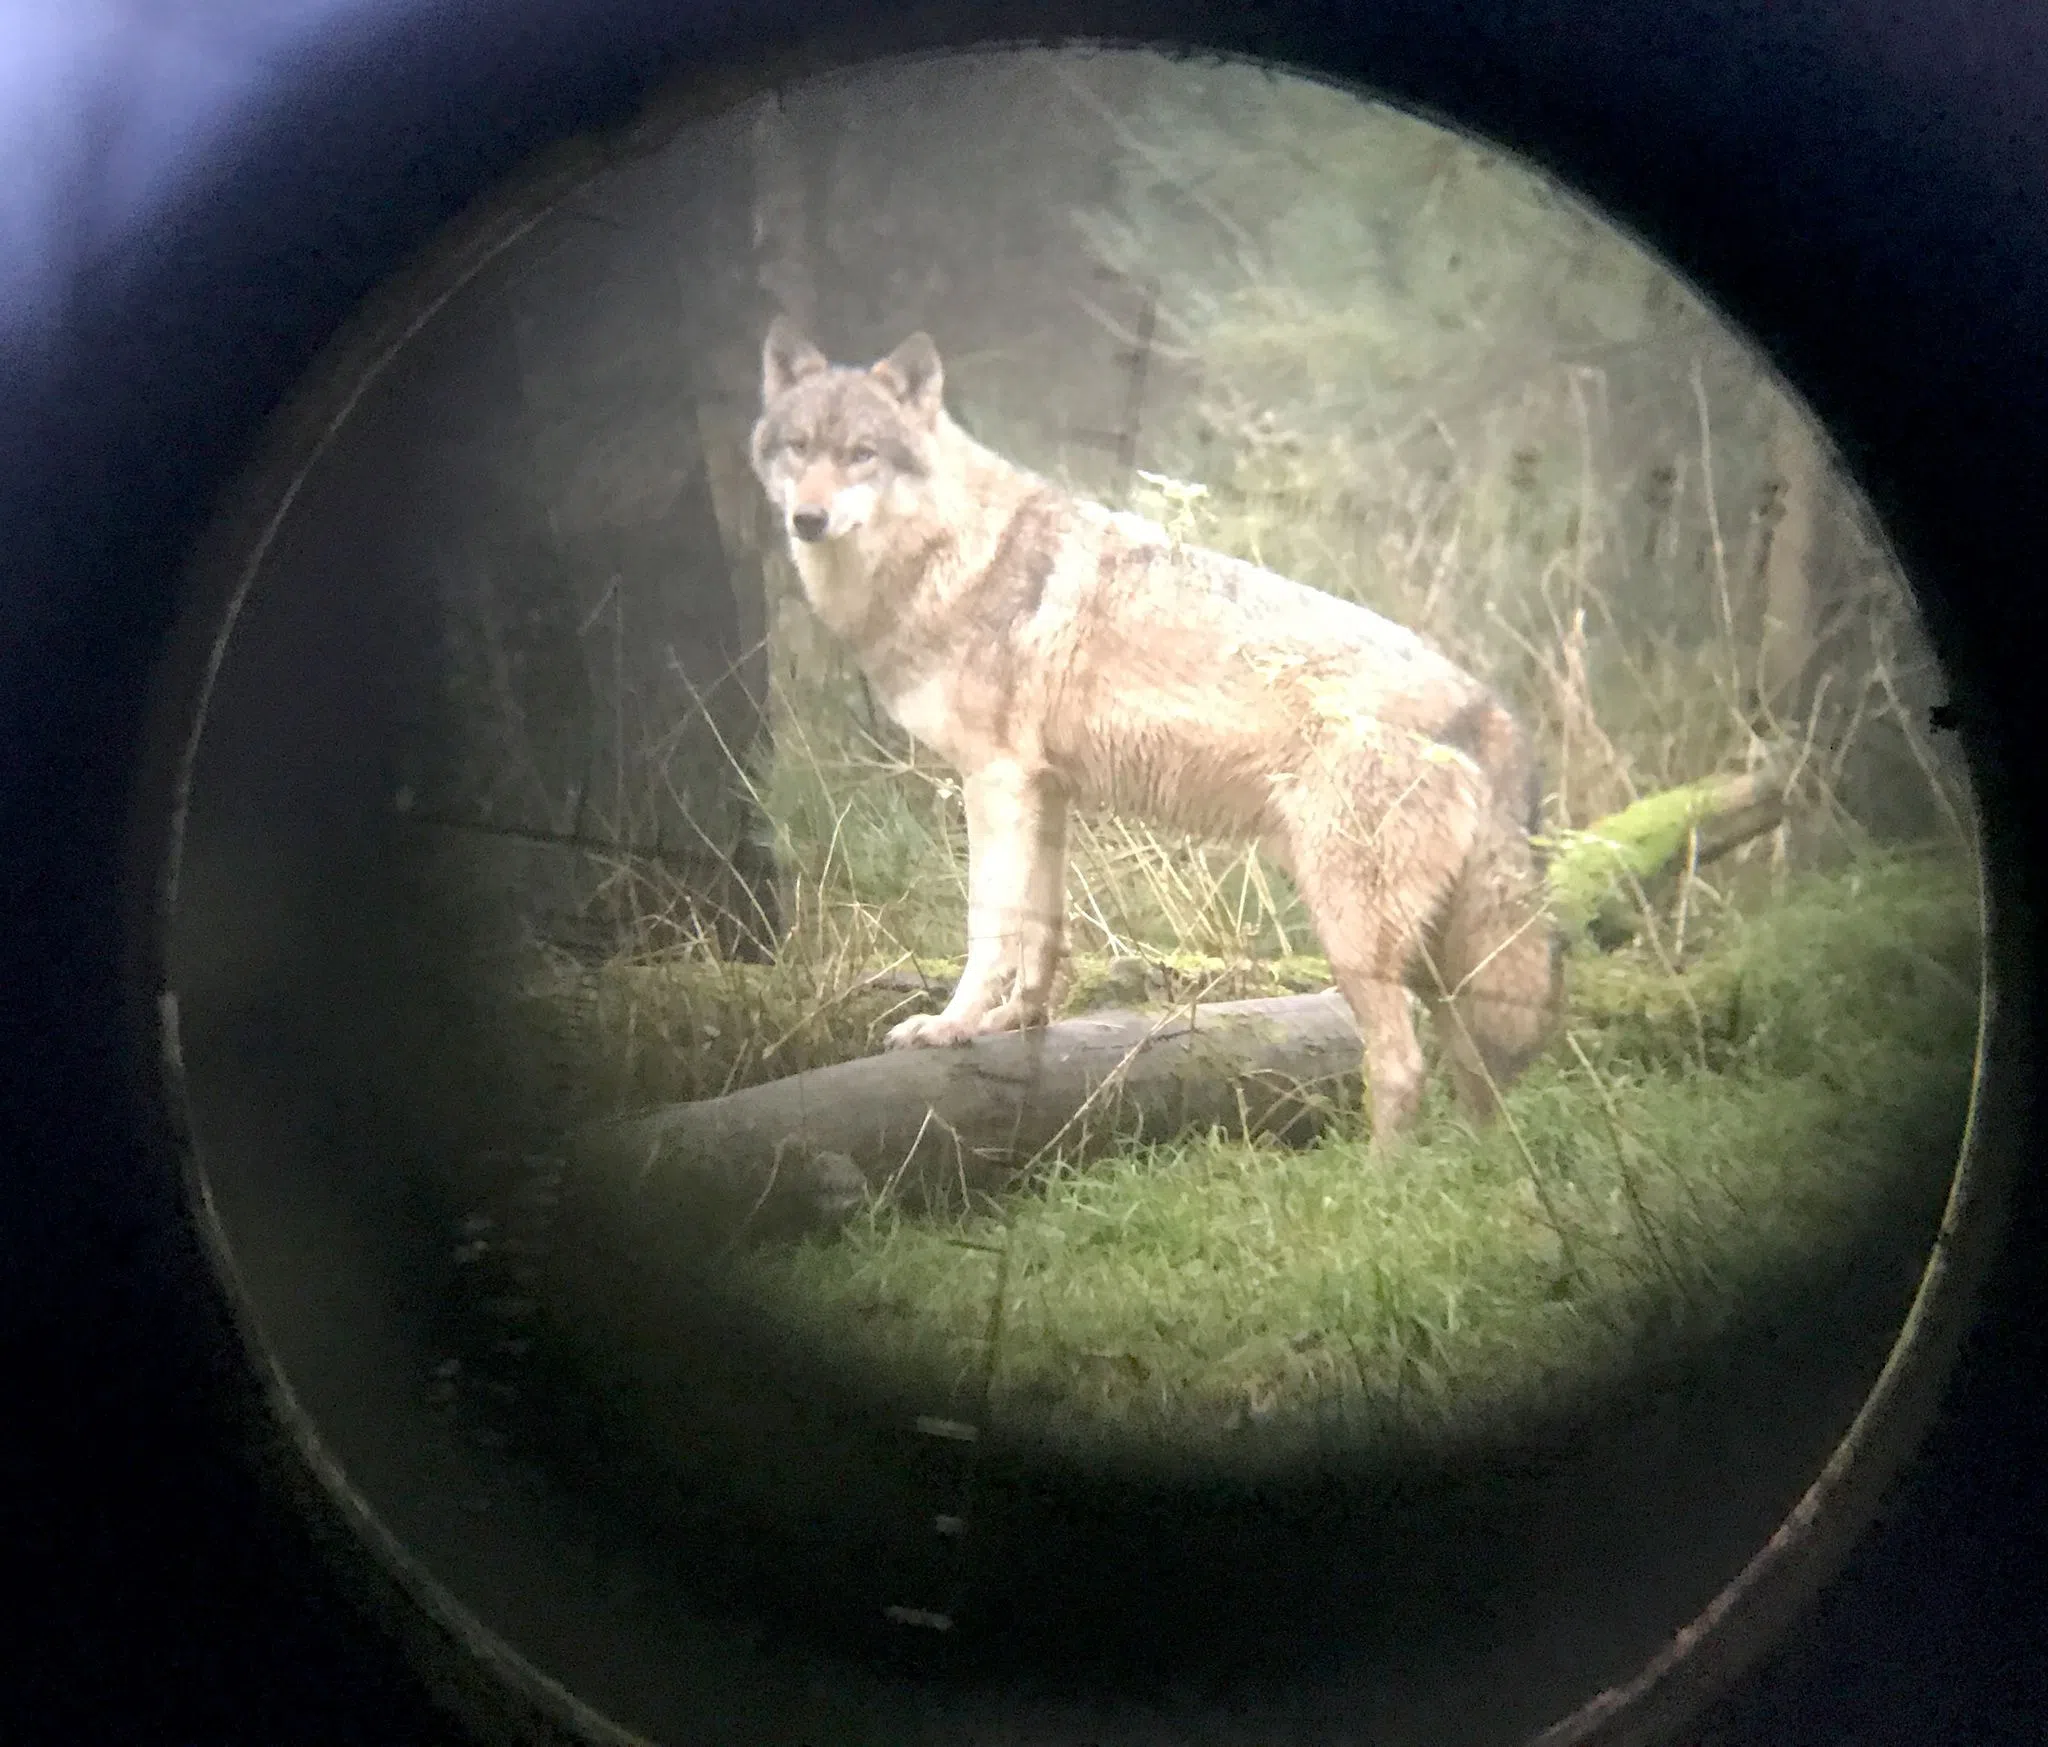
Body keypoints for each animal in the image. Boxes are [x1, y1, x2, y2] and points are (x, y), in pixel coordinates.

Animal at [749, 319, 1561, 1145]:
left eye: (862, 453)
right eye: (799, 448)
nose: (807, 519)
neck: (951, 554)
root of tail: (1490, 707)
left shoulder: (995, 782)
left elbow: (990, 929)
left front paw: (951, 1026)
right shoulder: (1046, 791)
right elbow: (1043, 930)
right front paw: (1017, 1021)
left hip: (1353, 935)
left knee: (1403, 1068)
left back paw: (1379, 1176)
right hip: (1433, 961)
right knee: (1479, 1077)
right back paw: (1472, 1167)